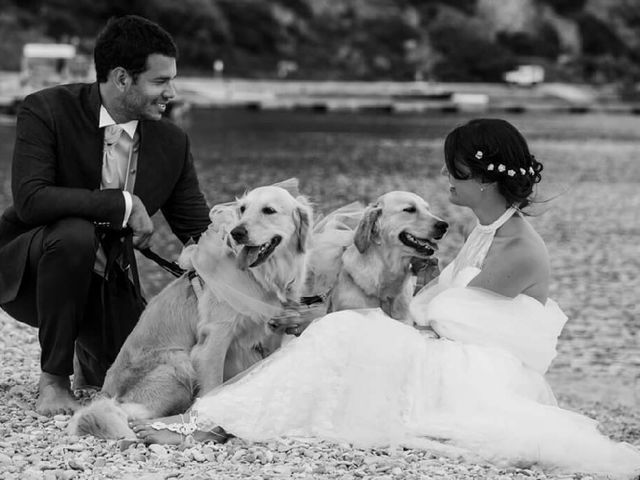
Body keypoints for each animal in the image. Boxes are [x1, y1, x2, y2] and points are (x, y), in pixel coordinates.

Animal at [67, 183, 312, 438]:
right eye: (243, 209)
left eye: (269, 210)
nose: (237, 233)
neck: (262, 277)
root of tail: (105, 393)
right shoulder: (214, 338)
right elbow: (212, 388)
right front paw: (209, 430)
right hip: (178, 361)